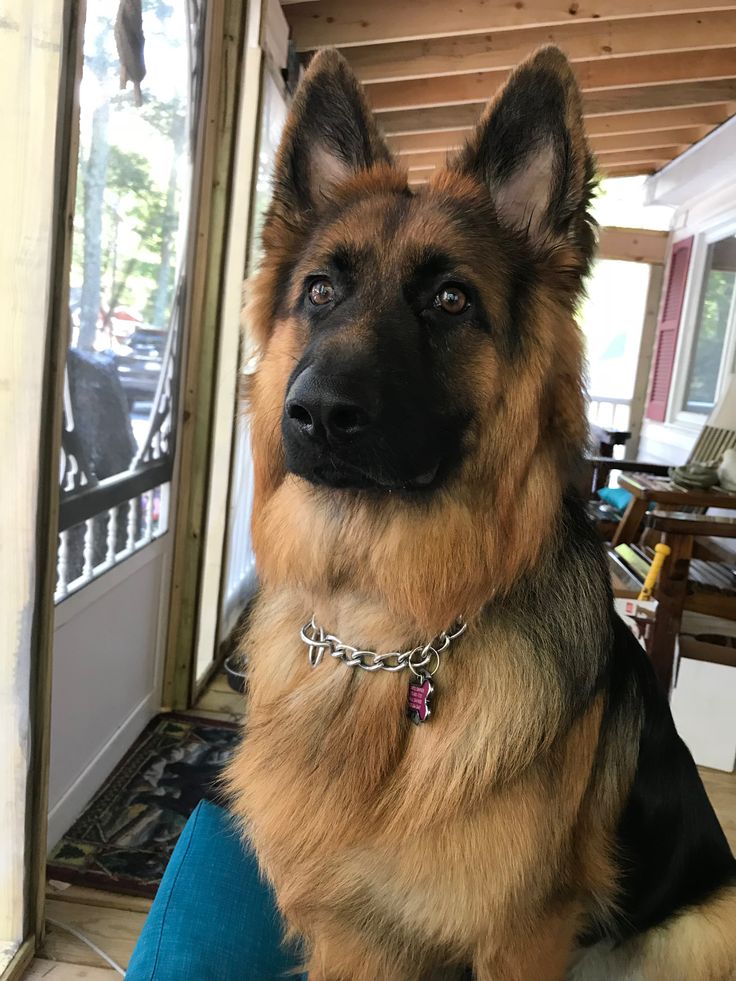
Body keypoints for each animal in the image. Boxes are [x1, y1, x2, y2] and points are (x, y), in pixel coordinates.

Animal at [224, 42, 736, 976]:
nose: (315, 414)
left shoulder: (522, 935)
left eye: (451, 300)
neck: (383, 630)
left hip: (700, 927)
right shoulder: (353, 934)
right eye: (319, 291)